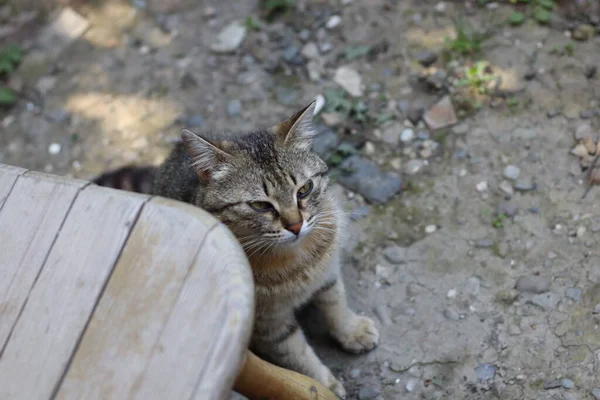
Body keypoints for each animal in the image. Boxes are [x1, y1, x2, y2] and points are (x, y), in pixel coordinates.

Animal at [91, 102, 378, 396]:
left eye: (304, 189)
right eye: (261, 205)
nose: (296, 225)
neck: (299, 263)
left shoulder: (327, 275)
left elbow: (336, 305)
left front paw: (352, 330)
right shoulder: (269, 325)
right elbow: (297, 354)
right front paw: (323, 384)